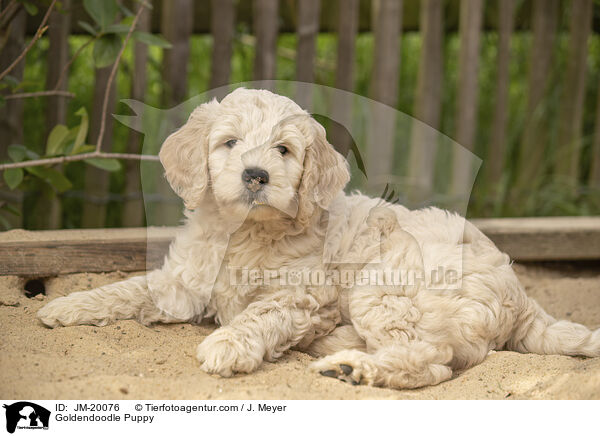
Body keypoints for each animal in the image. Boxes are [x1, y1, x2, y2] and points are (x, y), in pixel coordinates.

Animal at [38, 88, 600, 388]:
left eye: (284, 150)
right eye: (229, 143)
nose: (256, 175)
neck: (246, 235)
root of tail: (522, 297)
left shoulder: (303, 295)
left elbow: (260, 314)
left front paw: (228, 344)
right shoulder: (183, 282)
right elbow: (128, 288)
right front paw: (65, 306)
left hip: (385, 285)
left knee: (431, 360)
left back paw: (352, 367)